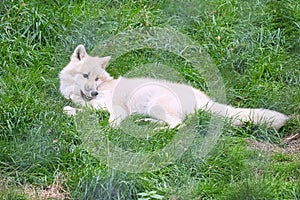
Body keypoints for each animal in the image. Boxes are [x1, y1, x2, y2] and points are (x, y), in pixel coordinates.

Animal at [59, 45, 290, 130]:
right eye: (86, 76)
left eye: (97, 79)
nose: (94, 92)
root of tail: (206, 100)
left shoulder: (107, 106)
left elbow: (84, 109)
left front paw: (71, 109)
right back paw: (145, 123)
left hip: (157, 106)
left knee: (178, 126)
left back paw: (151, 129)